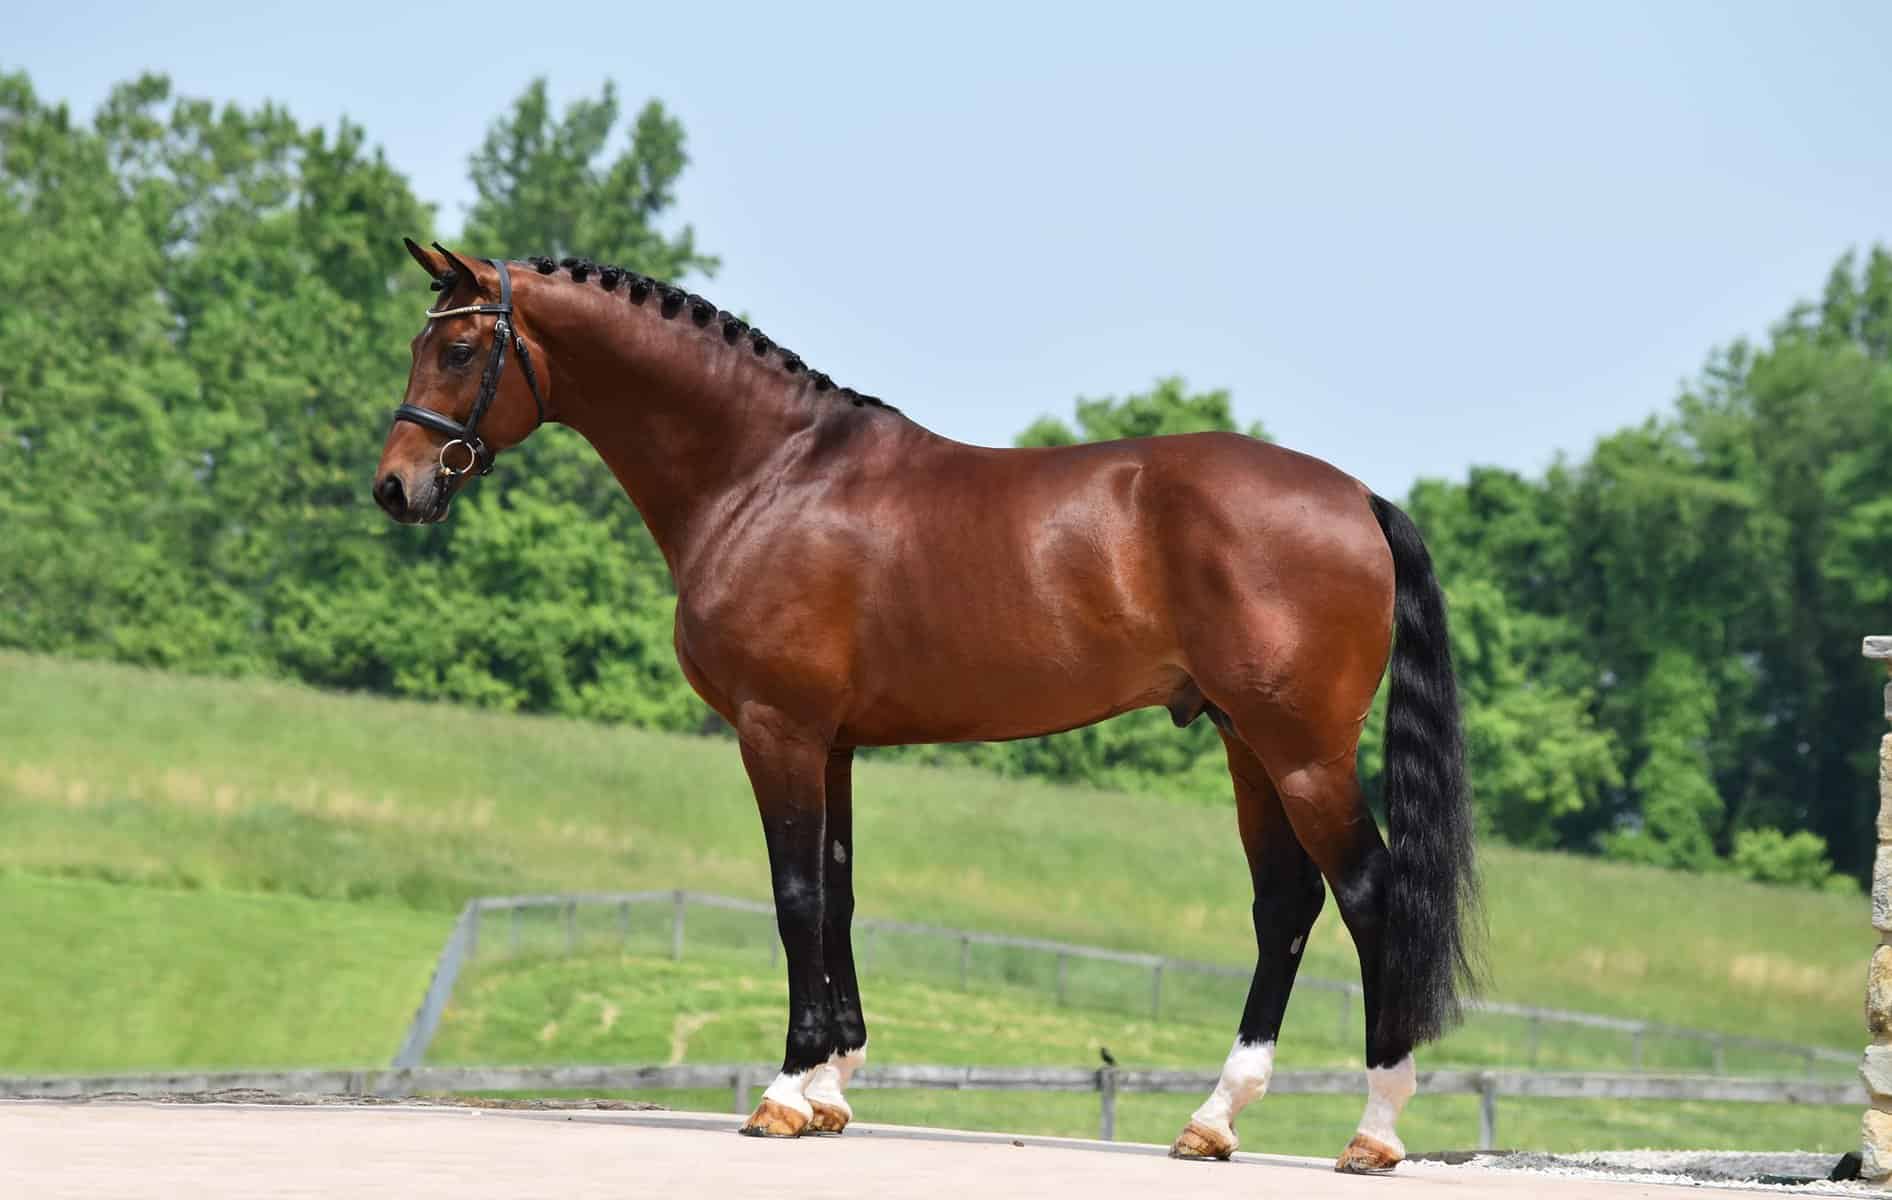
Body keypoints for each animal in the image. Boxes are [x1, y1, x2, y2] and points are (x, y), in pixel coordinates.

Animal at [374, 241, 1479, 1174]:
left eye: (460, 346)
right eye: (425, 342)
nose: (396, 486)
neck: (766, 475)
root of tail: (1358, 499)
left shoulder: (777, 731)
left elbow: (795, 897)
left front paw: (784, 1092)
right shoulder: (833, 745)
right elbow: (839, 894)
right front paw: (831, 1090)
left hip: (1301, 752)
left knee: (1367, 895)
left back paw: (1373, 1130)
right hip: (1245, 740)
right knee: (1283, 903)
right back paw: (1213, 1120)